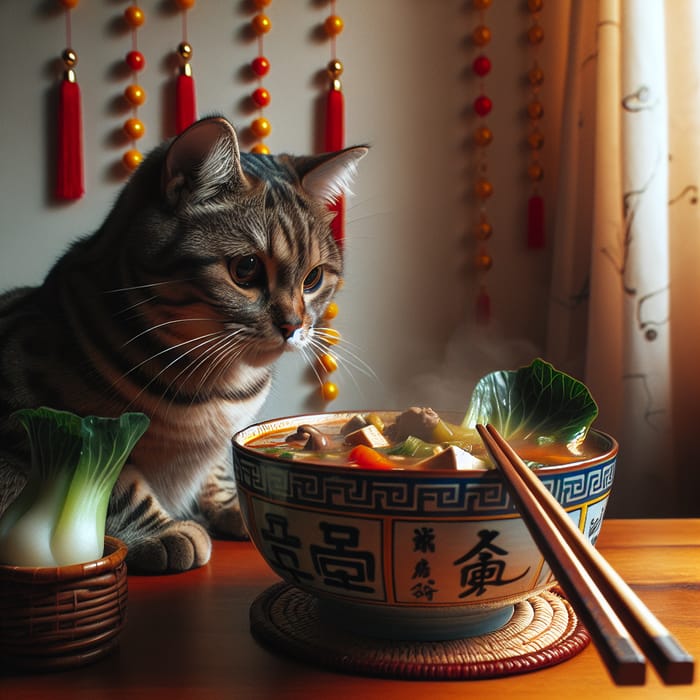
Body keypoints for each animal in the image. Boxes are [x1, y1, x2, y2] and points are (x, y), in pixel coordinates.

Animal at [0, 115, 370, 572]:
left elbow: (216, 467)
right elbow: (116, 483)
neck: (217, 383)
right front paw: (162, 530)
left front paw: (229, 504)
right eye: (246, 269)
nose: (293, 325)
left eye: (314, 278)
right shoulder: (47, 418)